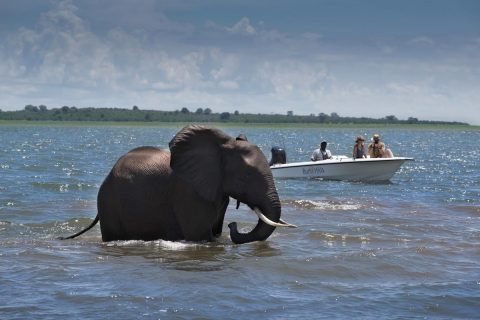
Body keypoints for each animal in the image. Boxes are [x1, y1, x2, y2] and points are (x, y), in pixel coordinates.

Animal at [58, 124, 294, 244]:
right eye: (245, 177)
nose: (233, 225)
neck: (221, 146)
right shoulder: (187, 193)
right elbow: (200, 236)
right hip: (109, 204)